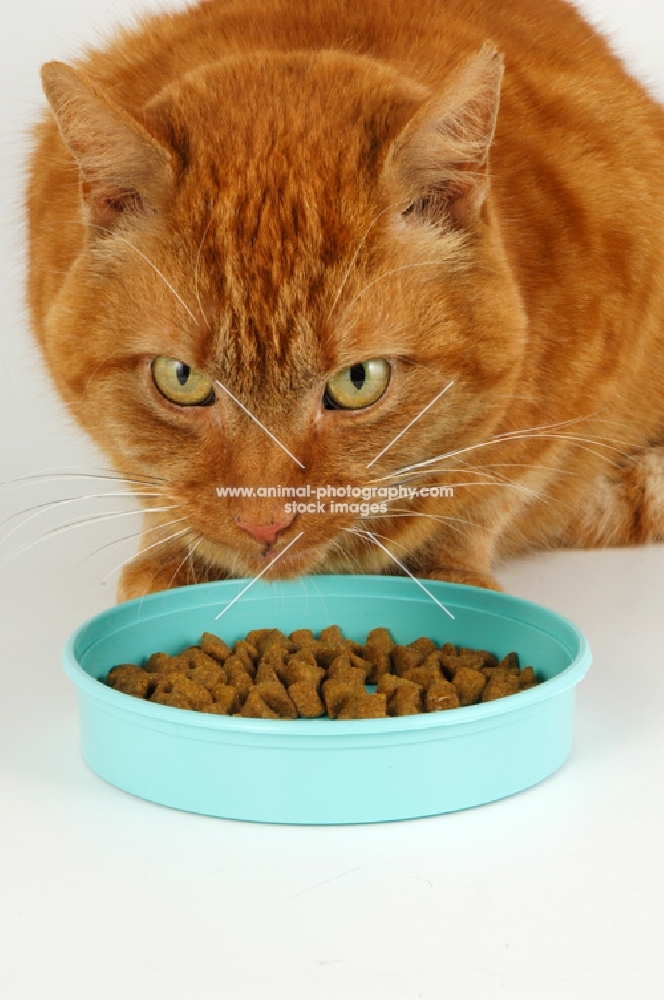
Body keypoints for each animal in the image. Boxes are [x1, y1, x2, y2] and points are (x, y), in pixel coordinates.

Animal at [27, 0, 664, 600]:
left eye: (359, 381)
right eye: (180, 378)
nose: (264, 523)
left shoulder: (572, 401)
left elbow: (487, 494)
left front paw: (446, 572)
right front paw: (175, 559)